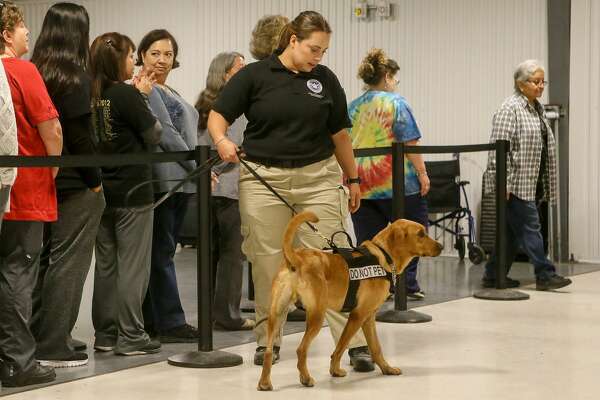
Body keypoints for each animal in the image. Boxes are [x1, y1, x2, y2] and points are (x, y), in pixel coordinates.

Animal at [255, 212, 442, 390]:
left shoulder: (369, 317)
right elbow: (341, 346)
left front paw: (386, 368)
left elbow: (376, 347)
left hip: (276, 316)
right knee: (301, 350)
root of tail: (297, 257)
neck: (383, 255)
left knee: (269, 352)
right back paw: (306, 378)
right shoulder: (358, 315)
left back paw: (264, 382)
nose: (441, 246)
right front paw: (335, 371)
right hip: (316, 317)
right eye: (421, 234)